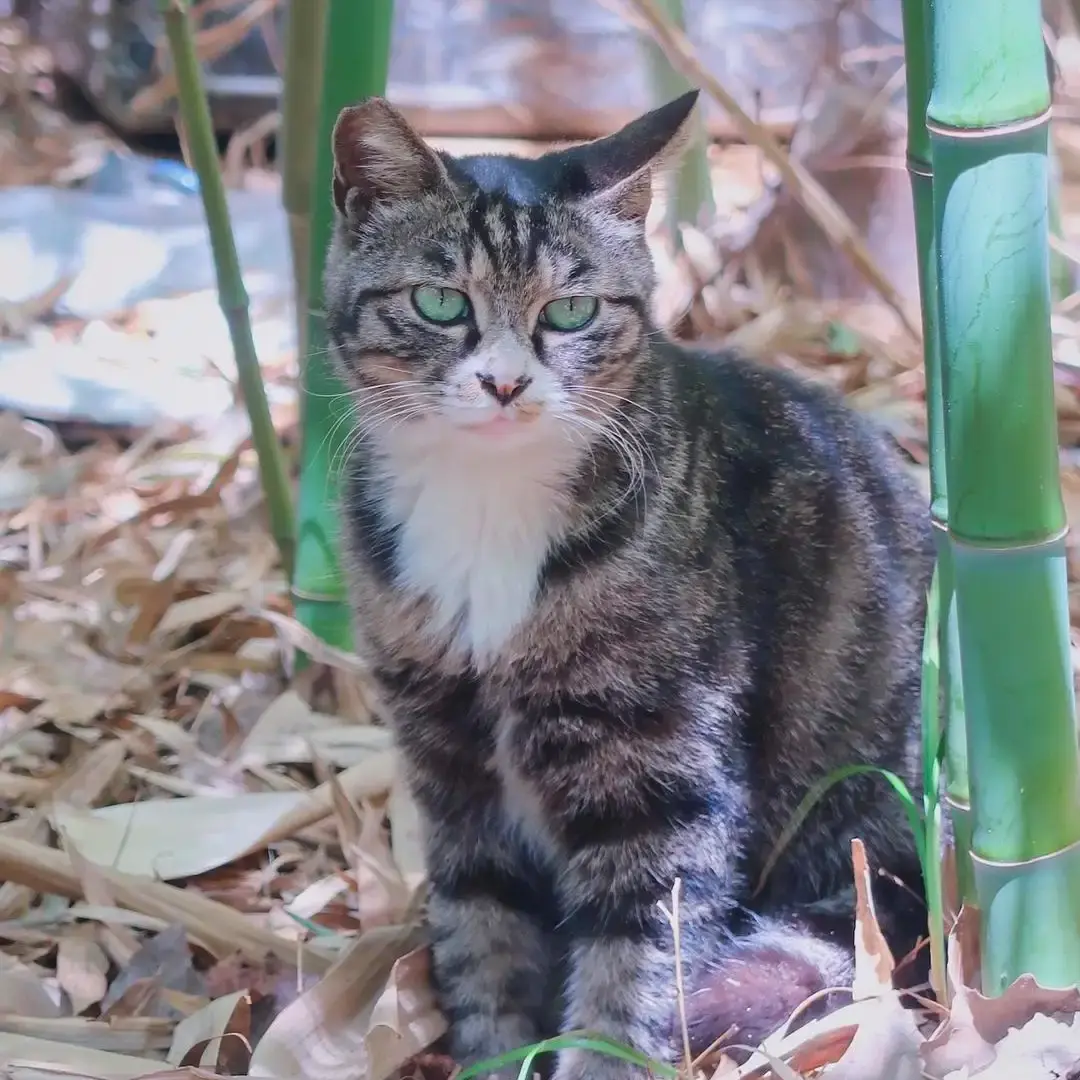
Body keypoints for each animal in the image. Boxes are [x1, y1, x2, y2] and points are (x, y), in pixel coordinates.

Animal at [324, 92, 933, 1080]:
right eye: (439, 302)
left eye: (571, 311)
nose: (505, 383)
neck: (487, 505)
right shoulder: (447, 762)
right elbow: (482, 934)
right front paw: (494, 1053)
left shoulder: (660, 768)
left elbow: (634, 963)